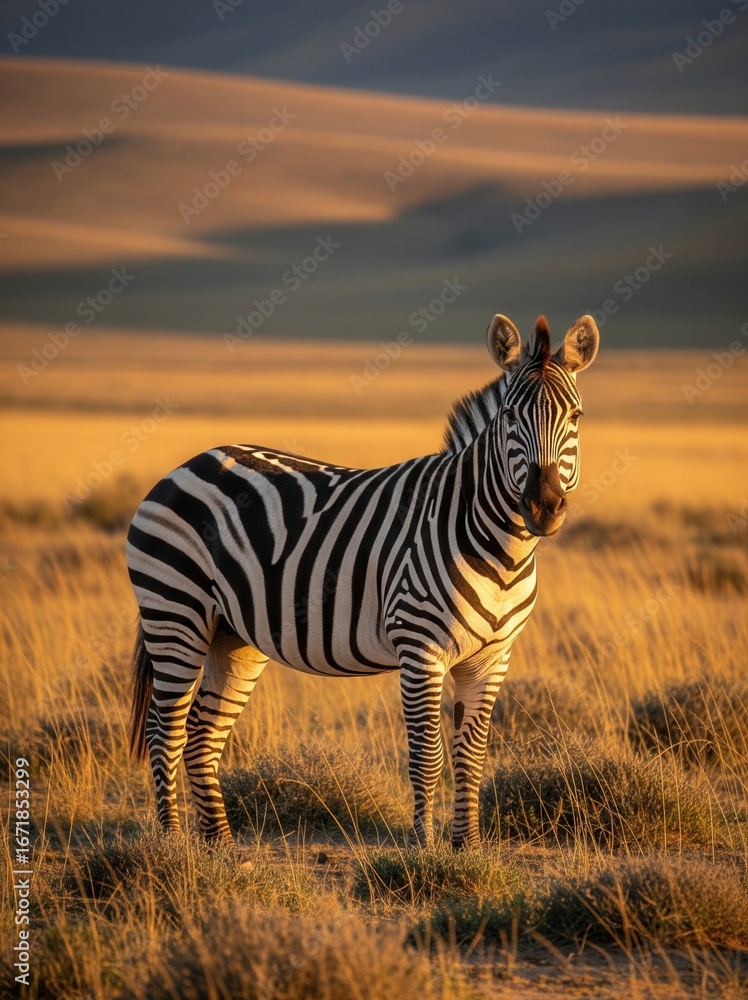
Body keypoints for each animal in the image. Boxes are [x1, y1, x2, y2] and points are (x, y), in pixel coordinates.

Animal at [127, 312, 599, 849]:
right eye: (509, 418)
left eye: (577, 417)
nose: (543, 506)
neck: (502, 551)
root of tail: (189, 463)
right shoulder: (420, 647)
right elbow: (428, 756)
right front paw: (425, 848)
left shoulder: (493, 658)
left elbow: (472, 757)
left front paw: (470, 847)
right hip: (174, 613)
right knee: (166, 733)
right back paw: (172, 845)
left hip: (232, 635)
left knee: (203, 737)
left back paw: (222, 848)